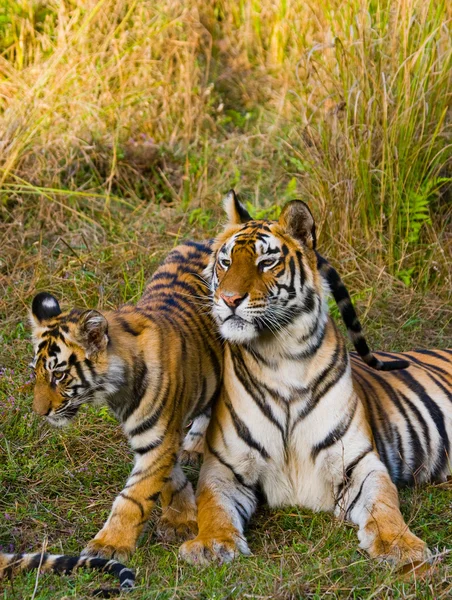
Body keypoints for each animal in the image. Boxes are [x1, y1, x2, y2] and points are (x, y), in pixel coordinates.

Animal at [180, 196, 452, 568]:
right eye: (225, 262)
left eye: (266, 262)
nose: (229, 300)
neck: (280, 357)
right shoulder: (225, 467)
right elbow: (212, 507)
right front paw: (210, 544)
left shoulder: (358, 462)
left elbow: (385, 504)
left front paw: (401, 546)